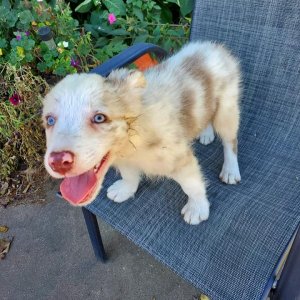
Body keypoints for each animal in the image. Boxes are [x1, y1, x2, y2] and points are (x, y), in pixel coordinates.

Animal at [43, 42, 241, 225]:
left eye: (99, 118)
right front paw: (124, 190)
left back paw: (230, 170)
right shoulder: (125, 159)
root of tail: (211, 46)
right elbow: (129, 175)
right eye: (49, 120)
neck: (134, 137)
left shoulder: (181, 159)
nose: (58, 162)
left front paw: (197, 208)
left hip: (227, 110)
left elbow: (192, 186)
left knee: (230, 142)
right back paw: (206, 134)